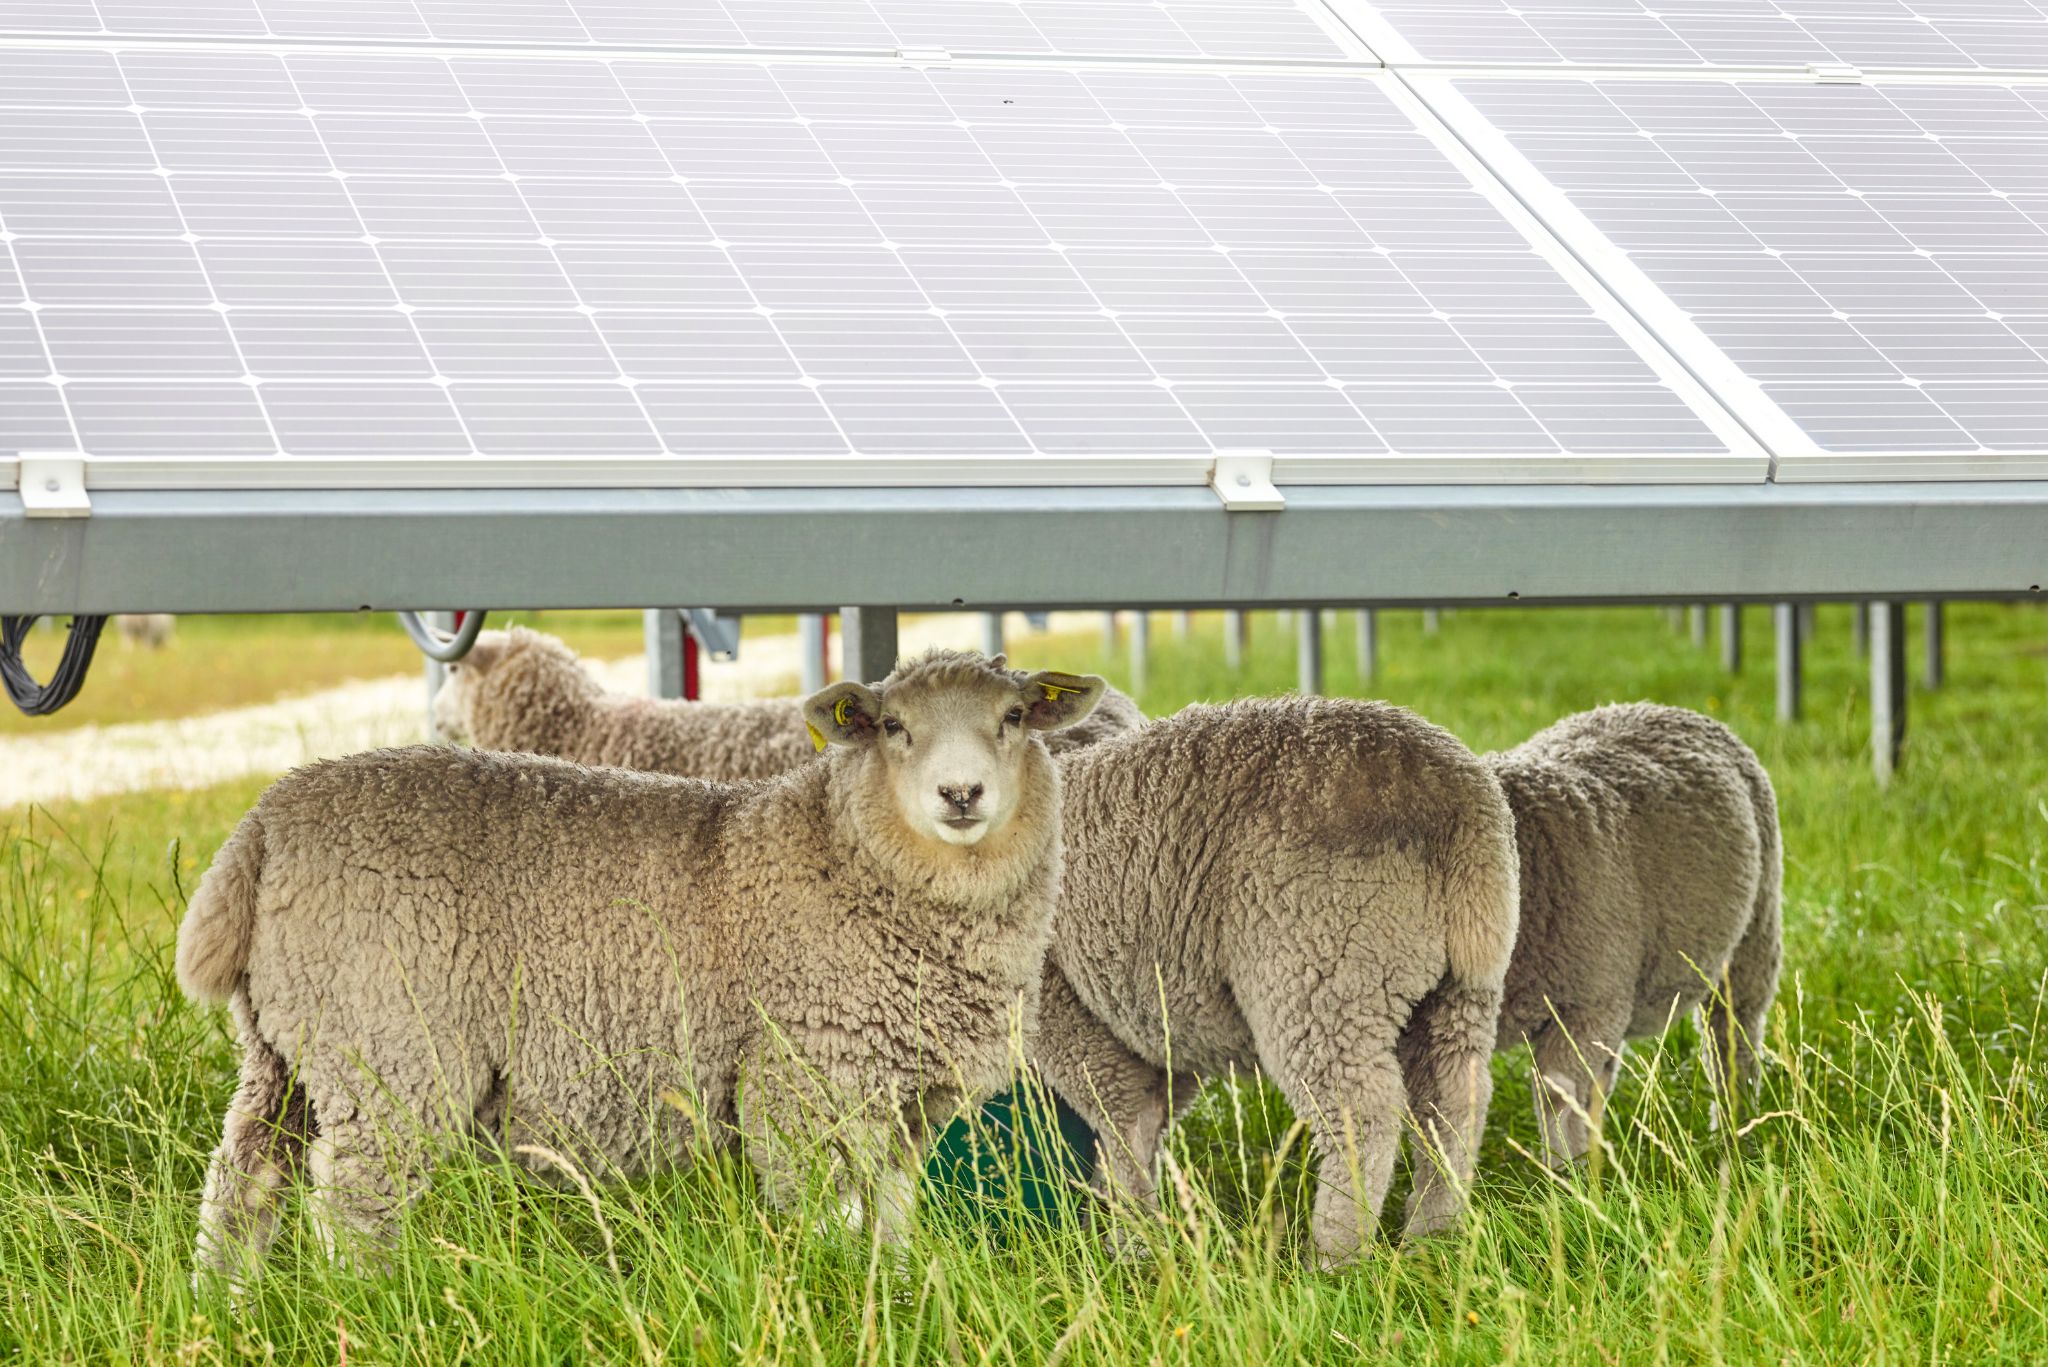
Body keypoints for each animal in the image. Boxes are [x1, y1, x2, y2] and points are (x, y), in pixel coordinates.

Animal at [176, 649, 1109, 1287]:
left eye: (1014, 718)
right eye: (893, 726)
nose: (961, 795)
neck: (843, 857)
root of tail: (263, 825)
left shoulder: (902, 1102)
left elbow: (889, 1221)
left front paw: (896, 1295)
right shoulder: (799, 1081)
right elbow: (824, 1220)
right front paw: (838, 1298)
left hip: (286, 1046)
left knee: (244, 1181)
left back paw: (227, 1303)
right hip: (388, 1047)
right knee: (352, 1204)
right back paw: (368, 1305)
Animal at [1030, 697, 1521, 1268]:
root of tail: (1457, 803)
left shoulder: (1064, 1008)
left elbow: (1121, 1120)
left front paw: (1130, 1241)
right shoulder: (1163, 1026)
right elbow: (1151, 1118)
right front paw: (1127, 1221)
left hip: (1320, 966)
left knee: (1362, 1111)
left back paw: (1334, 1257)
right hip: (1460, 988)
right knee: (1456, 1095)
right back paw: (1434, 1232)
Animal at [1485, 703, 1782, 1165]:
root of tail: (1662, 708)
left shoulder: (1584, 1008)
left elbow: (1557, 1104)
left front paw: (1567, 1179)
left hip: (1752, 937)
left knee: (1732, 1040)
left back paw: (1734, 1128)